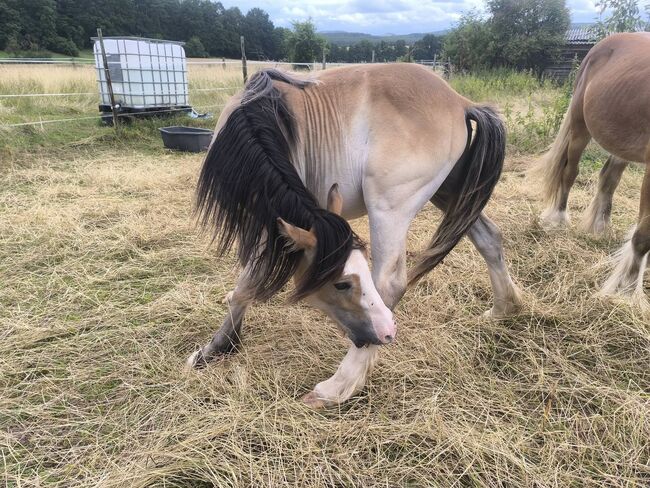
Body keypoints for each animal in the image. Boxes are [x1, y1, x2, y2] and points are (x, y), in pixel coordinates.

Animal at [187, 64, 522, 408]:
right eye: (342, 283)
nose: (389, 332)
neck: (256, 118)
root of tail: (460, 101)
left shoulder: (266, 221)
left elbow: (248, 283)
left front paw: (215, 347)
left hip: (389, 208)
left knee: (390, 284)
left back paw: (338, 385)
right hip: (452, 194)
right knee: (489, 239)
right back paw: (502, 310)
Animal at [537, 32, 650, 308]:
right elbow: (645, 234)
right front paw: (625, 291)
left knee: (608, 179)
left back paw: (599, 227)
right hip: (580, 127)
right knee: (570, 173)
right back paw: (558, 219)